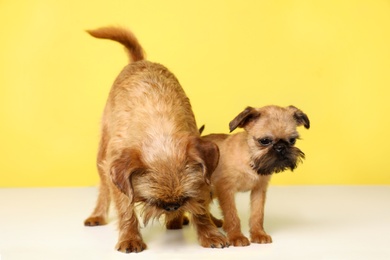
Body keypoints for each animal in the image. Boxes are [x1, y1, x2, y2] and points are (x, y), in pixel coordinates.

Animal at [83, 27, 227, 253]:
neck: (159, 127)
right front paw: (130, 238)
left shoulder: (200, 176)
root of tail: (138, 61)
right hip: (102, 154)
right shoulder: (116, 169)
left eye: (184, 197)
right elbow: (125, 209)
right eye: (154, 201)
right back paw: (98, 215)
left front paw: (209, 232)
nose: (172, 207)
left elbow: (201, 208)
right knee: (104, 189)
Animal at [203, 106, 310, 248]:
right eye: (264, 141)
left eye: (292, 140)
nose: (281, 147)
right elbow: (232, 215)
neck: (251, 161)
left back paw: (214, 221)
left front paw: (258, 234)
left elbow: (257, 214)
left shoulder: (259, 190)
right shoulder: (226, 190)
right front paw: (236, 236)